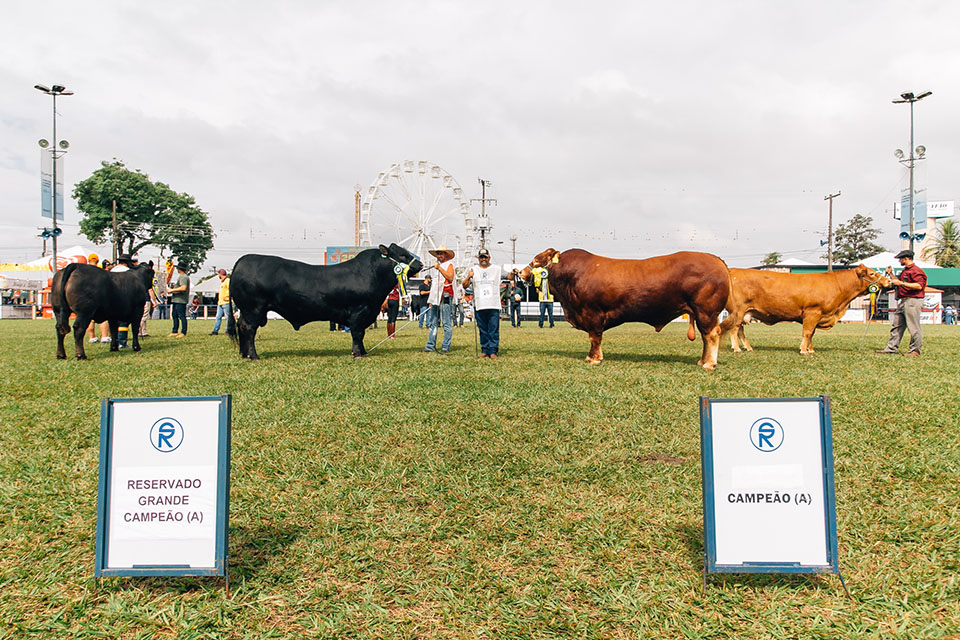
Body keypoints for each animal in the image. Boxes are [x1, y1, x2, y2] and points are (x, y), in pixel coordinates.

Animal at [227, 242, 422, 358]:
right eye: (402, 255)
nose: (420, 264)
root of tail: (243, 259)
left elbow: (361, 335)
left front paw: (364, 352)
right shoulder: (359, 311)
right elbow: (357, 333)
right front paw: (358, 354)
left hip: (247, 310)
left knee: (241, 327)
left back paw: (244, 354)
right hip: (254, 309)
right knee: (248, 329)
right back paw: (253, 356)